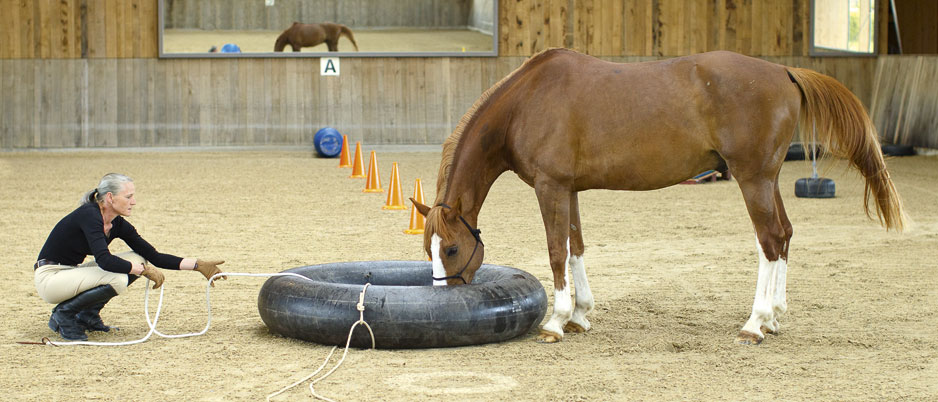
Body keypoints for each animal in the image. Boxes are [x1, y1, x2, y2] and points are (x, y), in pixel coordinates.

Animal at [414, 48, 904, 346]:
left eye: (452, 248)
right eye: (427, 250)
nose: (441, 302)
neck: (527, 102)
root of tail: (783, 71)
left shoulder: (550, 187)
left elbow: (556, 251)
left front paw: (556, 321)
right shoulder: (569, 189)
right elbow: (576, 247)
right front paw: (580, 315)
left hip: (753, 180)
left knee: (769, 240)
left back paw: (754, 324)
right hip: (769, 180)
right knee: (783, 235)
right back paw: (774, 316)